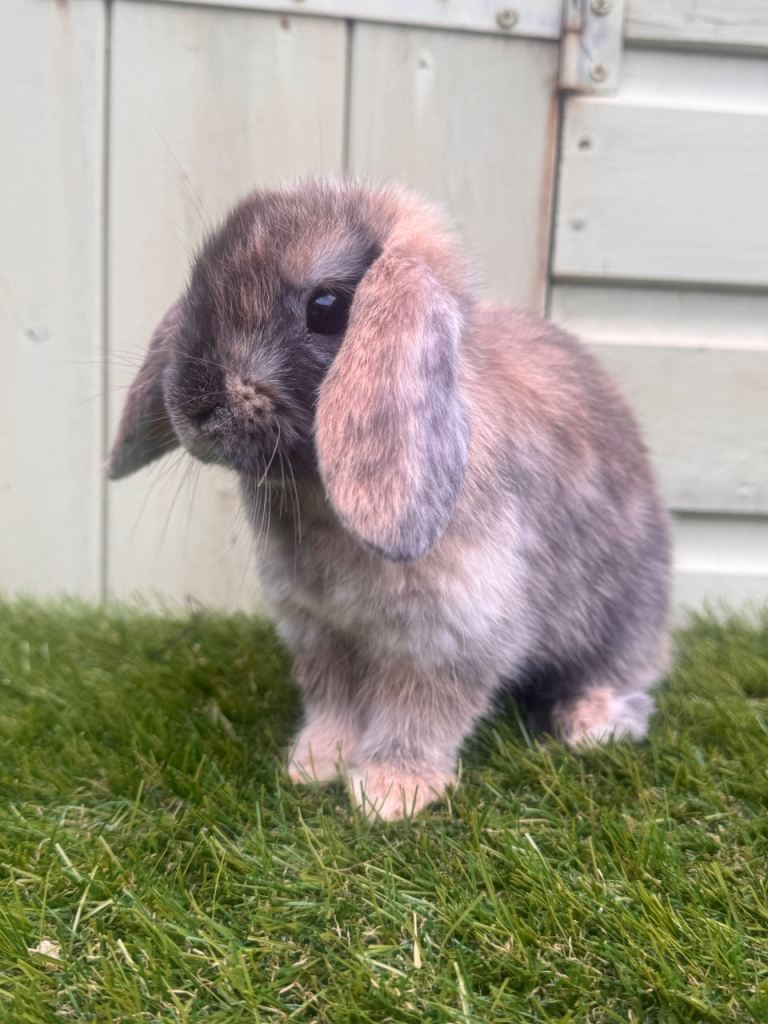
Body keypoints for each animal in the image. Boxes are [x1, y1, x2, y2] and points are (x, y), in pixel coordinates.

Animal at [109, 181, 671, 820]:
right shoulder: (321, 630)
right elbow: (334, 703)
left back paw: (590, 723)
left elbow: (419, 712)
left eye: (327, 308)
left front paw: (389, 793)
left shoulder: (448, 635)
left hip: (621, 616)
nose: (193, 406)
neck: (315, 492)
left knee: (622, 672)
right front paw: (315, 765)